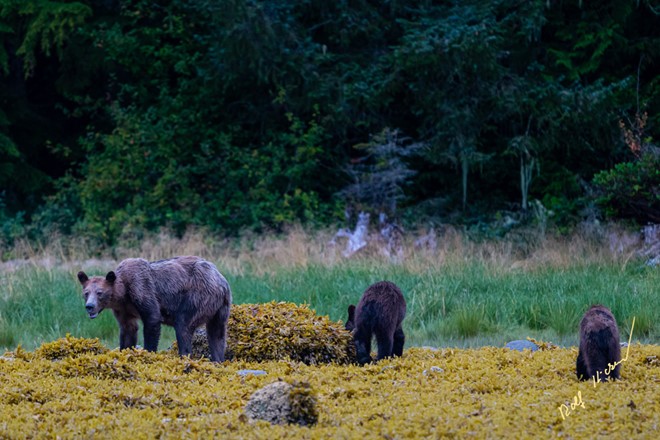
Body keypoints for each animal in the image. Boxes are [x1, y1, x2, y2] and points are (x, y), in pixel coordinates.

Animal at [78, 256, 232, 362]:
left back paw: (184, 356)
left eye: (99, 292)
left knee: (183, 326)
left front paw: (148, 352)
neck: (123, 294)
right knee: (217, 334)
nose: (89, 307)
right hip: (220, 308)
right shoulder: (123, 309)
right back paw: (218, 359)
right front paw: (124, 350)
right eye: (86, 293)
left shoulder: (141, 289)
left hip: (197, 296)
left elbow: (152, 319)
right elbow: (128, 329)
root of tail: (221, 281)